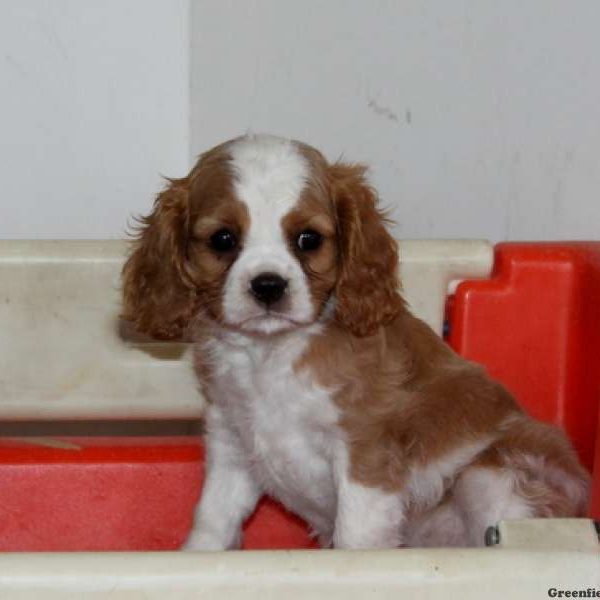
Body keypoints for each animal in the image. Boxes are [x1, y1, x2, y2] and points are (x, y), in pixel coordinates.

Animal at [122, 134, 592, 552]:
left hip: (491, 475)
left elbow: (355, 537)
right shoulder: (233, 443)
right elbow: (213, 519)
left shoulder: (365, 454)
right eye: (223, 239)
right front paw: (197, 556)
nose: (268, 285)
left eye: (308, 239)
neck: (270, 353)